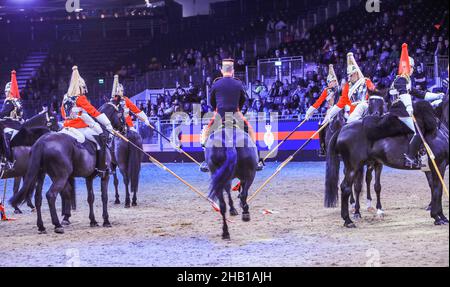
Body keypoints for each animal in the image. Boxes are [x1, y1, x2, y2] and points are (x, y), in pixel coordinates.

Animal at [11, 103, 123, 234]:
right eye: (120, 115)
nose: (124, 128)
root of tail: (41, 142)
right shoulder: (105, 176)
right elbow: (104, 197)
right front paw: (106, 221)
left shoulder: (88, 178)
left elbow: (90, 198)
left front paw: (93, 221)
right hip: (61, 177)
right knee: (51, 195)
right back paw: (57, 225)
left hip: (41, 175)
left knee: (38, 198)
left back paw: (41, 226)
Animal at [326, 100, 448, 228]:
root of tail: (343, 128)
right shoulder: (439, 165)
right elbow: (438, 190)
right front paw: (437, 217)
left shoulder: (431, 168)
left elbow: (435, 188)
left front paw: (441, 216)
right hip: (353, 167)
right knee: (346, 188)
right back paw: (348, 220)